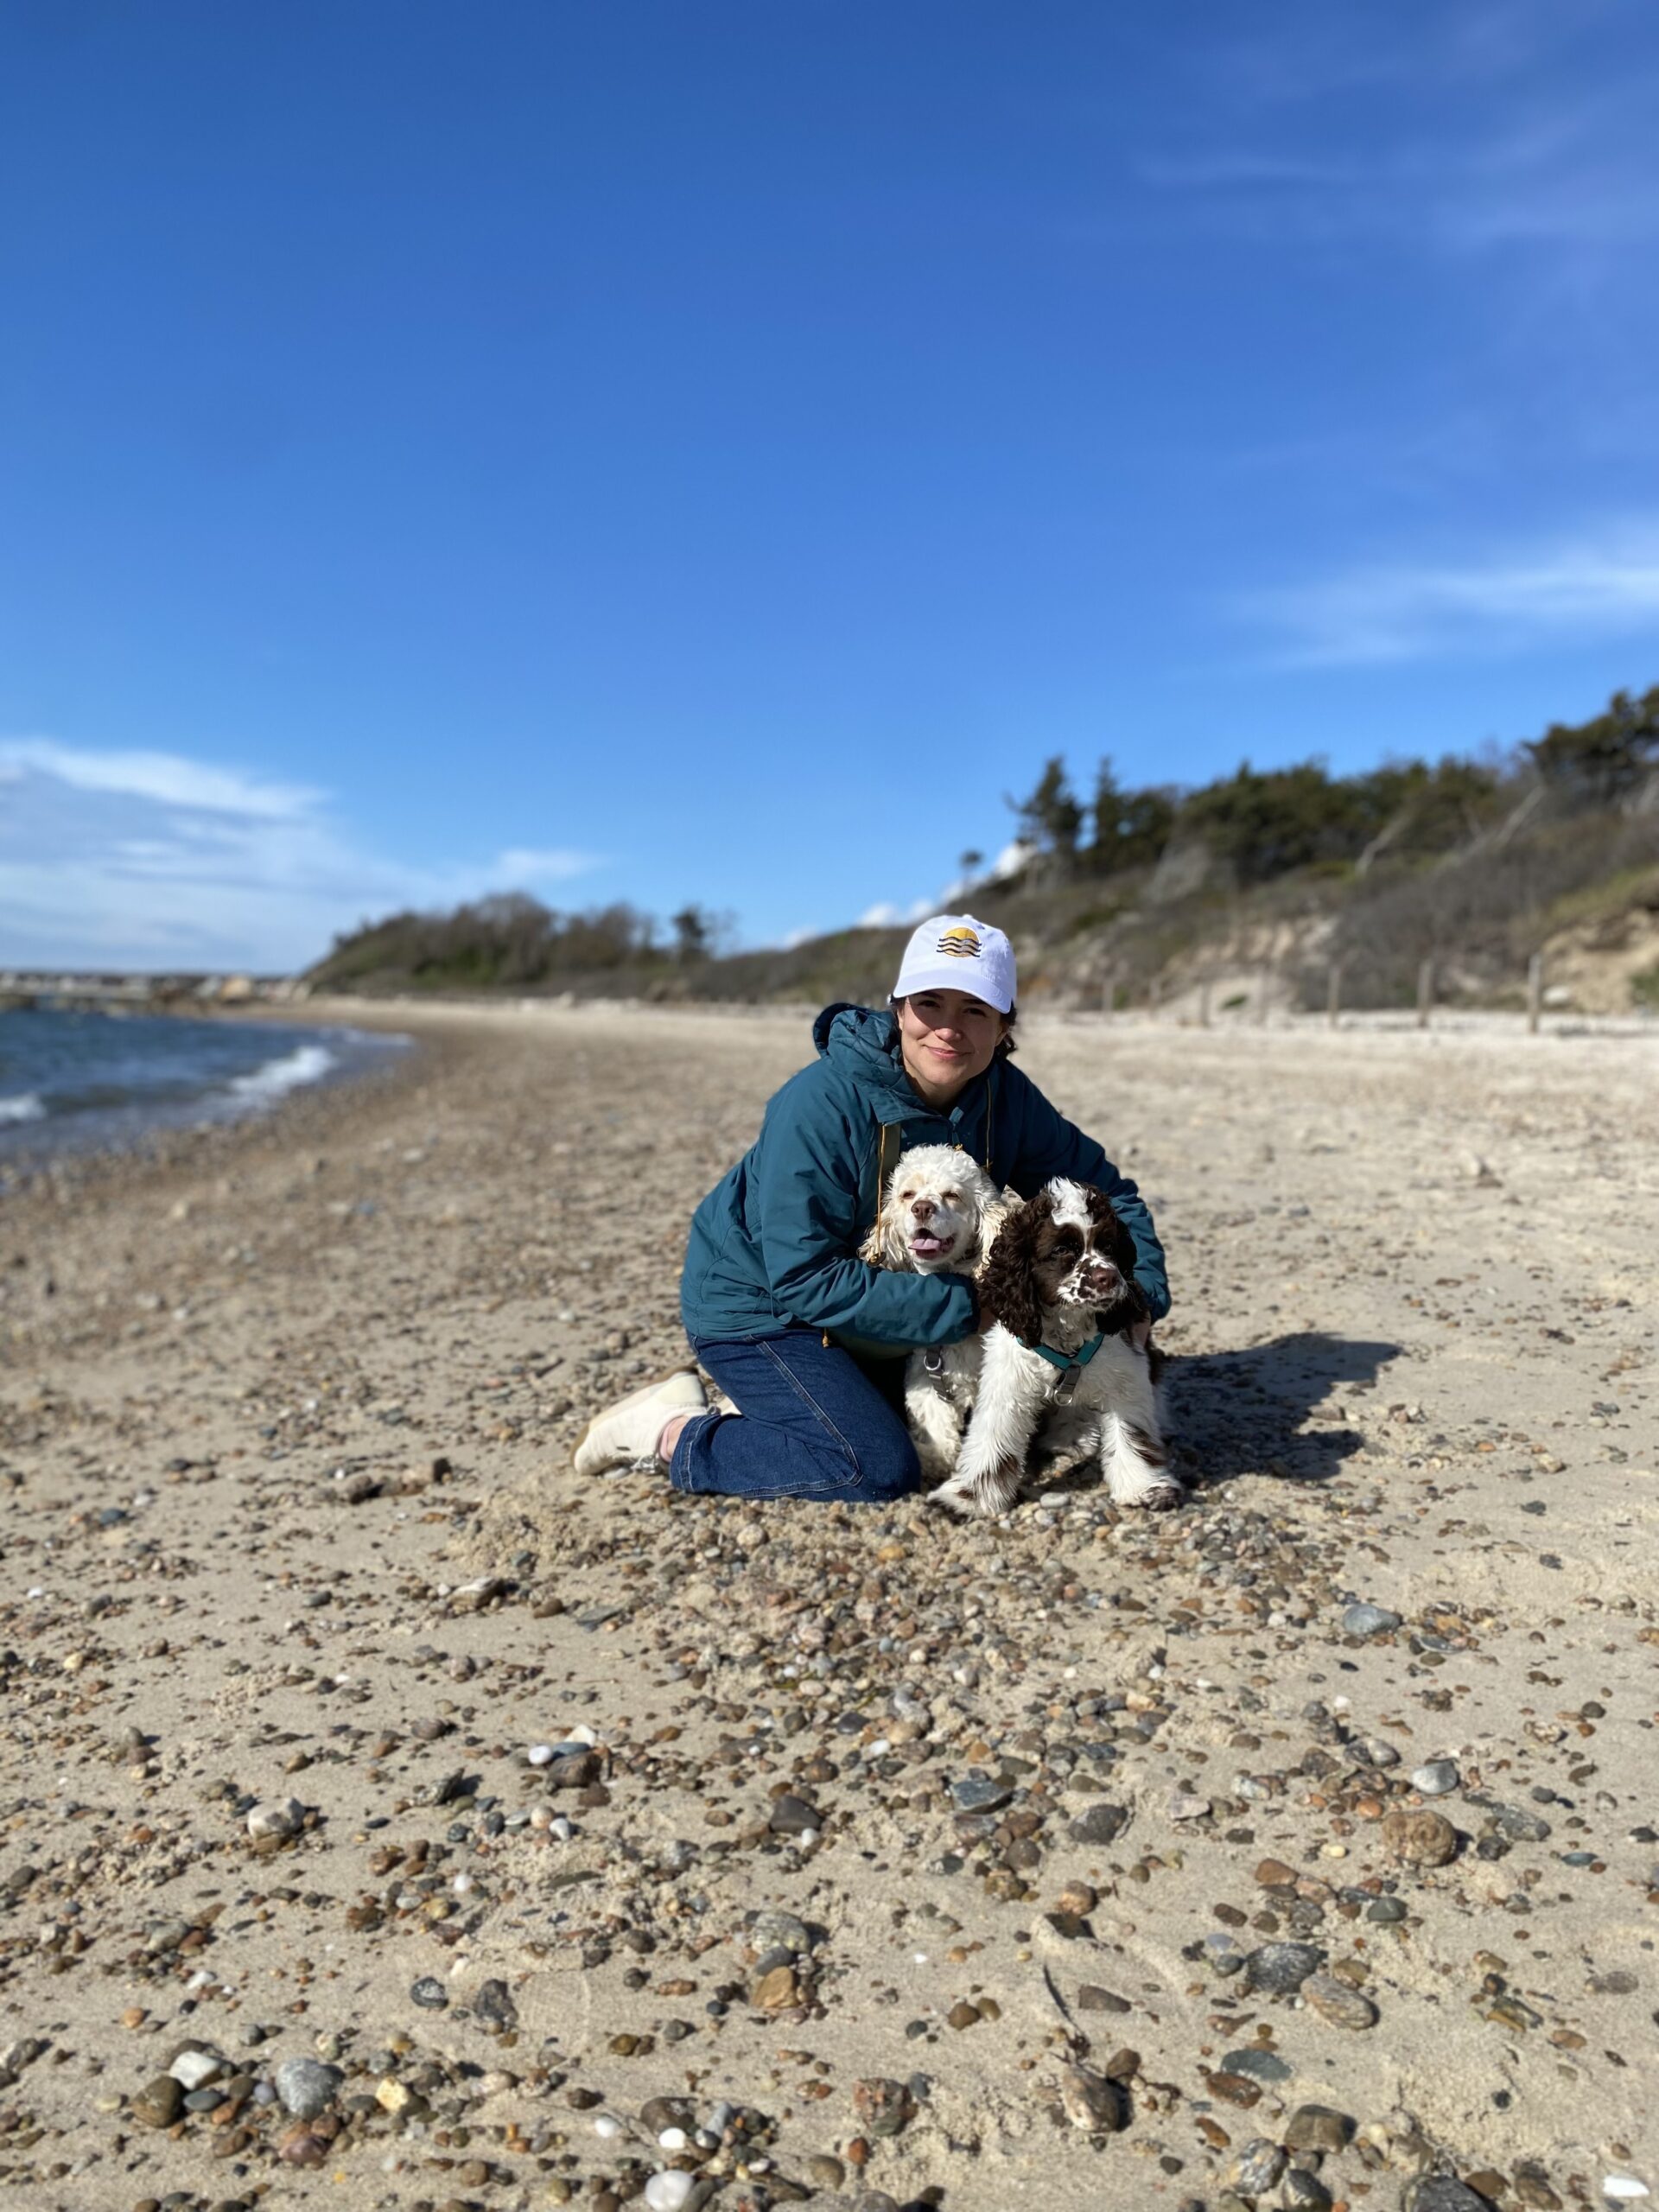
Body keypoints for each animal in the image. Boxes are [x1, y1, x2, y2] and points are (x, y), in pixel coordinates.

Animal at [862, 1141, 1021, 1486]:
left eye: (952, 1195)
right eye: (907, 1194)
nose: (921, 1208)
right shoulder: (928, 1380)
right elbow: (939, 1428)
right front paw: (934, 1461)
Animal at [938, 1176, 1185, 1522]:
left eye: (1109, 1246)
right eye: (1061, 1249)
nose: (1109, 1278)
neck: (1067, 1329)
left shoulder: (1127, 1374)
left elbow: (1133, 1435)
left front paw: (1144, 1489)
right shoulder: (1007, 1382)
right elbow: (993, 1438)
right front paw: (970, 1498)